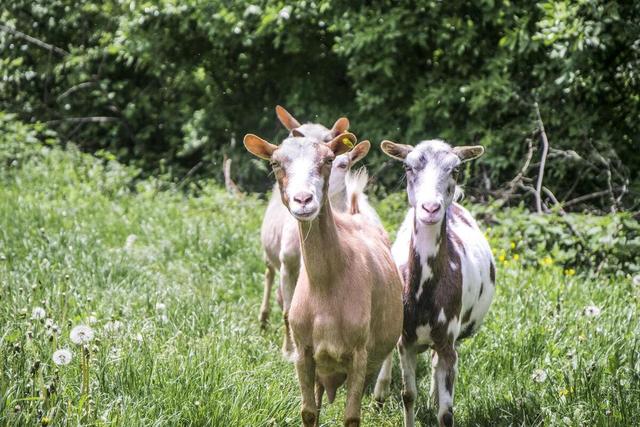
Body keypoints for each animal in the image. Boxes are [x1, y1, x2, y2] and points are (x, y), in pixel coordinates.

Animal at [244, 132, 400, 426]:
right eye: (275, 163)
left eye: (328, 160)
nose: (303, 199)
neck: (327, 285)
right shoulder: (305, 352)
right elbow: (308, 412)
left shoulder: (359, 354)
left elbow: (351, 417)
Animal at [378, 140, 498, 427]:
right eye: (408, 167)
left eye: (455, 170)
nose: (431, 208)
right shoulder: (406, 342)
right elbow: (408, 395)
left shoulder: (447, 342)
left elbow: (446, 412)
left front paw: (437, 404)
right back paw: (379, 394)